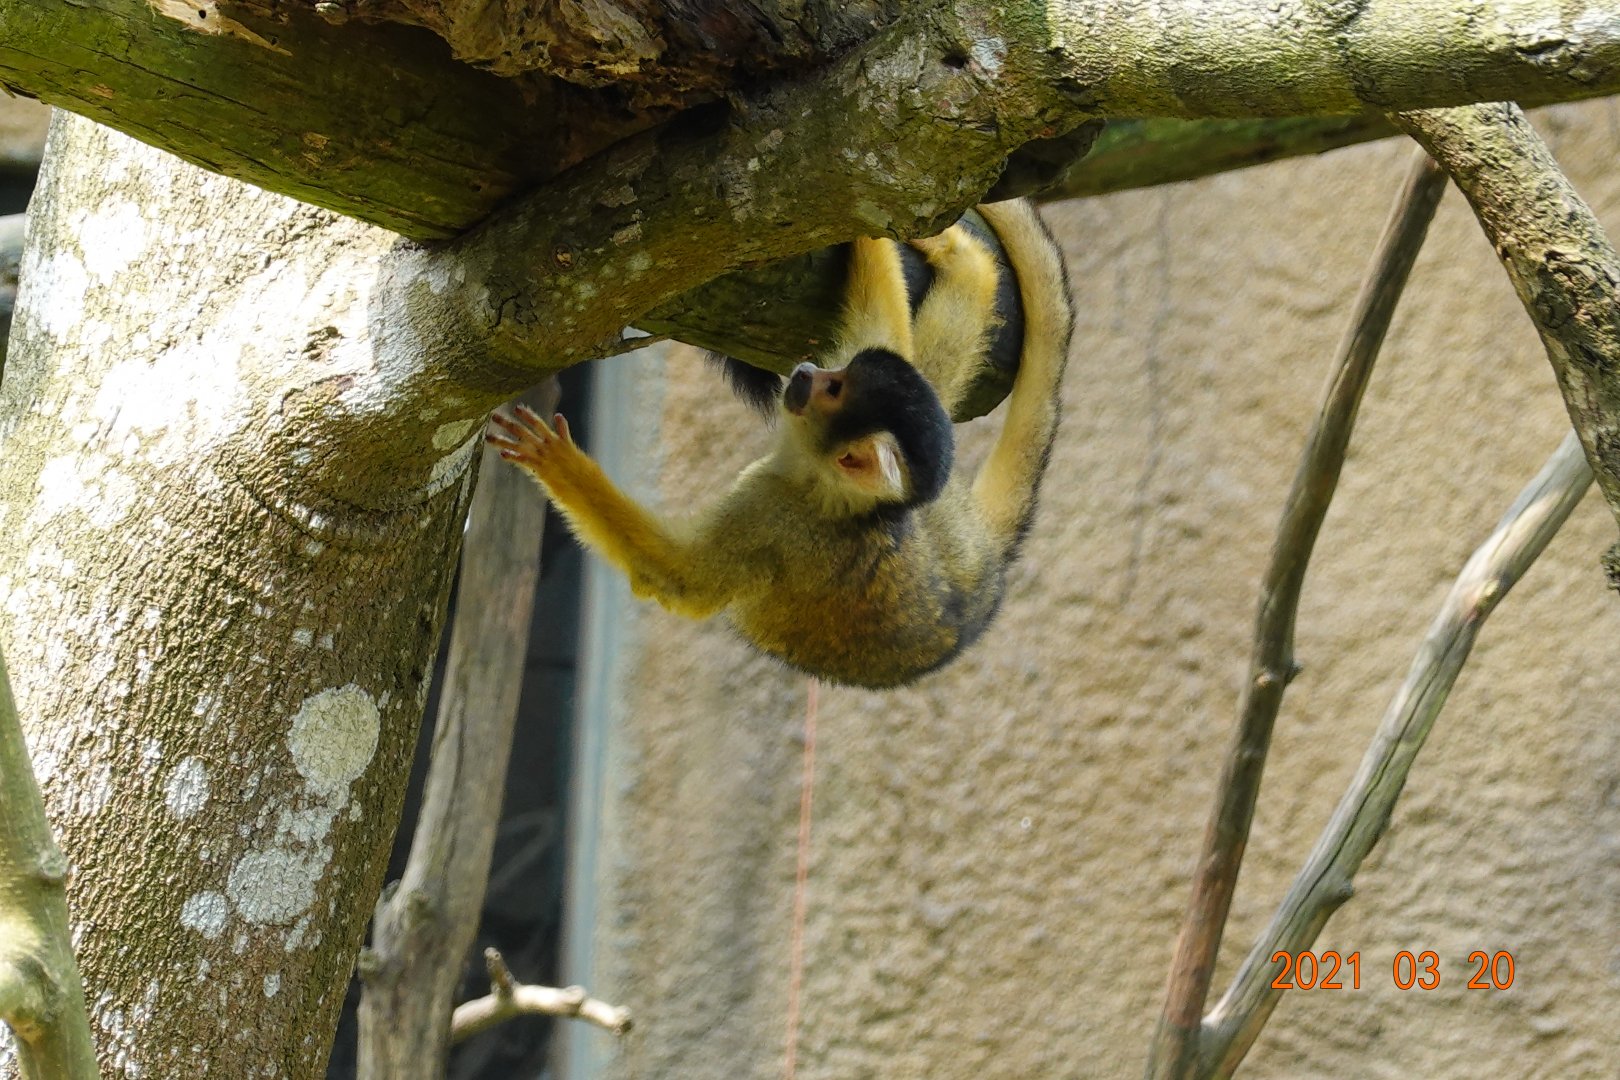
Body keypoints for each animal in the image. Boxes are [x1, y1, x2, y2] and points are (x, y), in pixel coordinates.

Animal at [486, 199, 1073, 689]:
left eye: (834, 389)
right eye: (840, 375)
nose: (810, 372)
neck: (824, 481)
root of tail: (985, 582)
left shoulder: (775, 515)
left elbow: (680, 579)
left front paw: (557, 462)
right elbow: (882, 322)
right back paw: (967, 264)